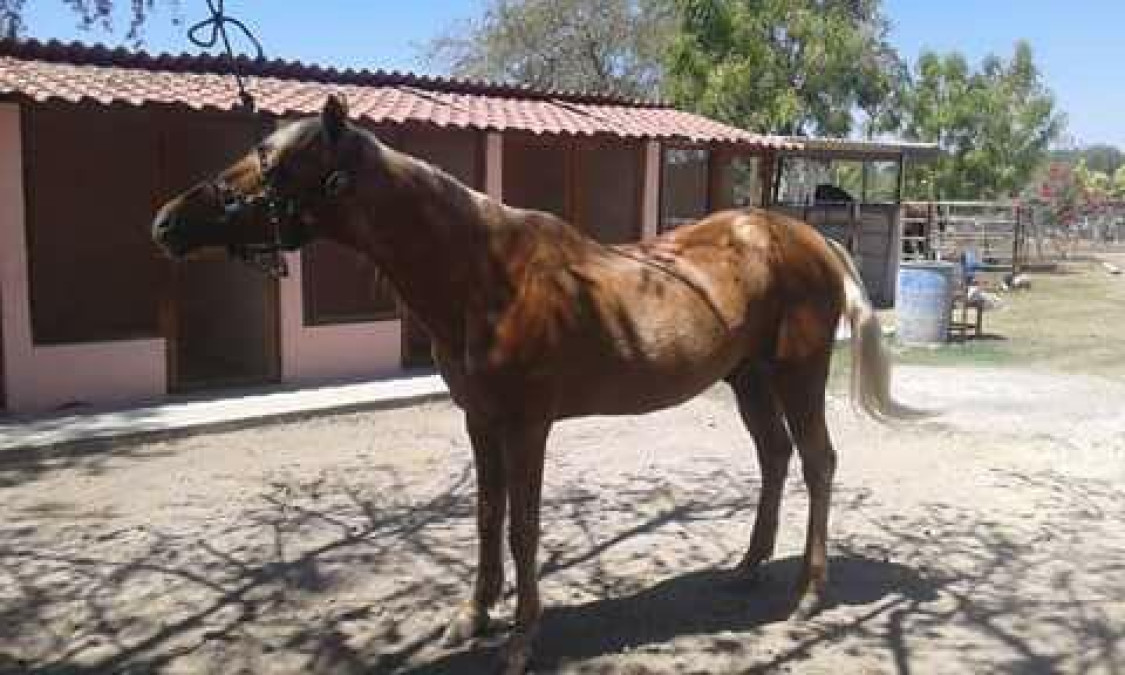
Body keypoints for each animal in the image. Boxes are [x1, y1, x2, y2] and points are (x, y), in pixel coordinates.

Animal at [153, 95, 918, 673]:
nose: (166, 220)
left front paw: (520, 638)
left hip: (797, 373)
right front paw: (471, 616)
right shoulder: (480, 420)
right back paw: (747, 567)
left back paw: (807, 593)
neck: (486, 275)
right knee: (774, 457)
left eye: (276, 162)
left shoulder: (527, 424)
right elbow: (488, 516)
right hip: (747, 377)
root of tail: (808, 237)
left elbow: (524, 526)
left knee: (817, 462)